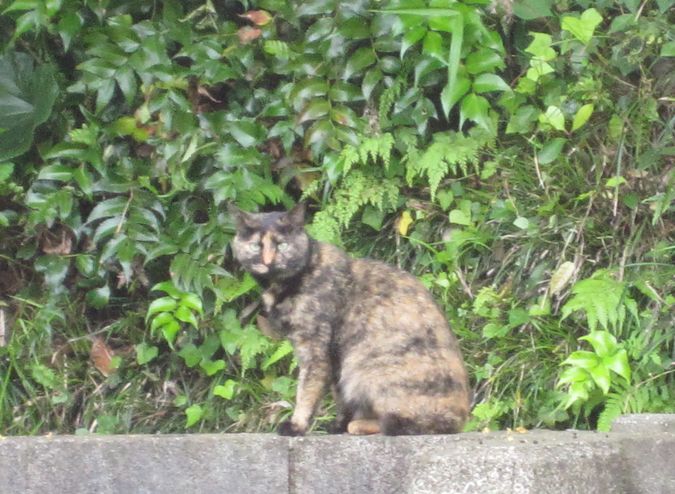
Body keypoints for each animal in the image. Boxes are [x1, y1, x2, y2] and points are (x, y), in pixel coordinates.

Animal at [228, 203, 470, 434]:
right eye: (256, 246)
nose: (268, 261)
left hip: (367, 371)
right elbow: (339, 397)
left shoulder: (314, 349)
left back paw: (359, 426)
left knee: (400, 424)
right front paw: (338, 425)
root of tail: (457, 422)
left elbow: (307, 391)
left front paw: (297, 425)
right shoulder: (333, 358)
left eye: (282, 245)